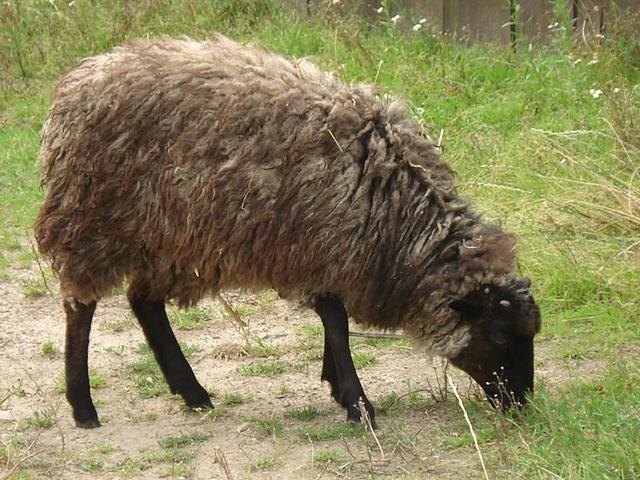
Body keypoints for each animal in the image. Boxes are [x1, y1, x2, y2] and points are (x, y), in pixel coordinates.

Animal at [34, 35, 541, 429]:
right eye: (499, 337)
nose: (520, 403)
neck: (399, 218)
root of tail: (79, 79)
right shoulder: (320, 240)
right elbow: (336, 321)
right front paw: (357, 403)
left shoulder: (331, 250)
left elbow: (333, 318)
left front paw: (337, 385)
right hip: (93, 220)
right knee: (81, 308)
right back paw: (83, 406)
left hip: (165, 236)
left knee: (144, 302)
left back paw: (192, 393)